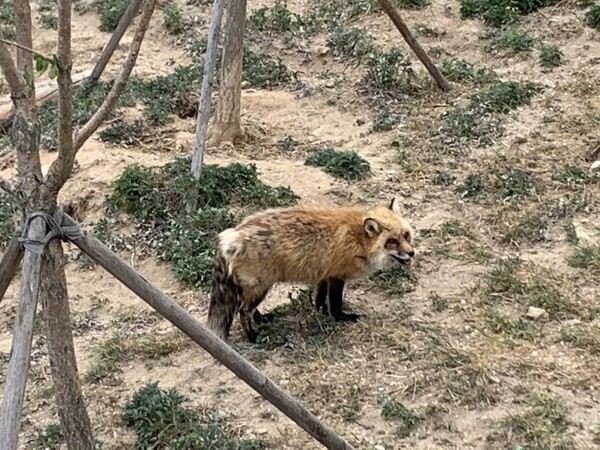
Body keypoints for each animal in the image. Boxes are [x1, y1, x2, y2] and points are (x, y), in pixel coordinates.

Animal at [206, 197, 412, 342]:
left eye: (406, 235)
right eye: (392, 241)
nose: (412, 253)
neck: (358, 239)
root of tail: (230, 236)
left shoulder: (324, 273)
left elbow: (319, 297)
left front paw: (320, 310)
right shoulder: (337, 275)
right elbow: (335, 303)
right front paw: (339, 318)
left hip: (257, 287)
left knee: (249, 309)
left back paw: (262, 321)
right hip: (260, 286)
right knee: (243, 311)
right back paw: (253, 338)